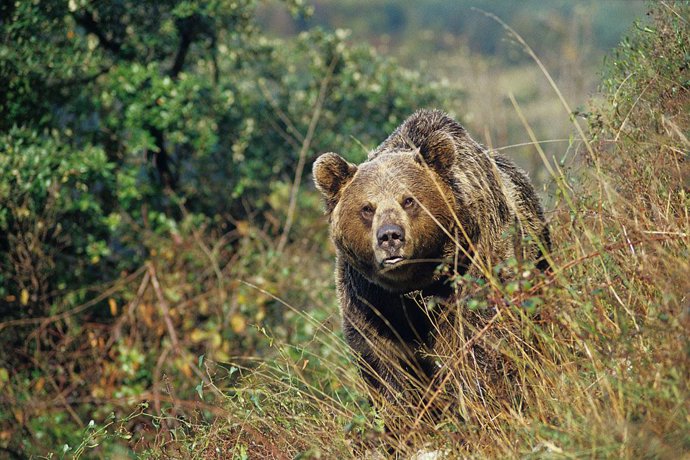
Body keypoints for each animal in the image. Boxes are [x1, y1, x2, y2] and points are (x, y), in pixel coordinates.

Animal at [312, 109, 551, 417]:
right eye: (367, 207)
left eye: (409, 200)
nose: (390, 236)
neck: (415, 284)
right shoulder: (369, 299)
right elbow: (383, 363)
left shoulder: (477, 263)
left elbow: (479, 338)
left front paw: (474, 398)